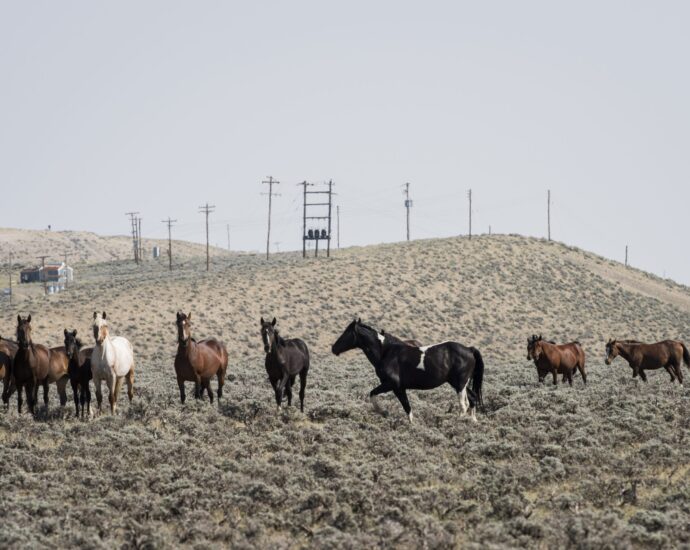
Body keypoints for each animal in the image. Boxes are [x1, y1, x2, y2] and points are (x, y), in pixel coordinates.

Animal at [330, 320, 482, 422]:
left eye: (347, 333)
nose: (333, 348)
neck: (386, 352)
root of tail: (469, 349)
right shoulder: (399, 387)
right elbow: (404, 407)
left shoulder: (393, 385)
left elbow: (403, 406)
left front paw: (384, 412)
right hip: (458, 383)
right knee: (472, 398)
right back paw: (473, 421)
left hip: (459, 384)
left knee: (464, 405)